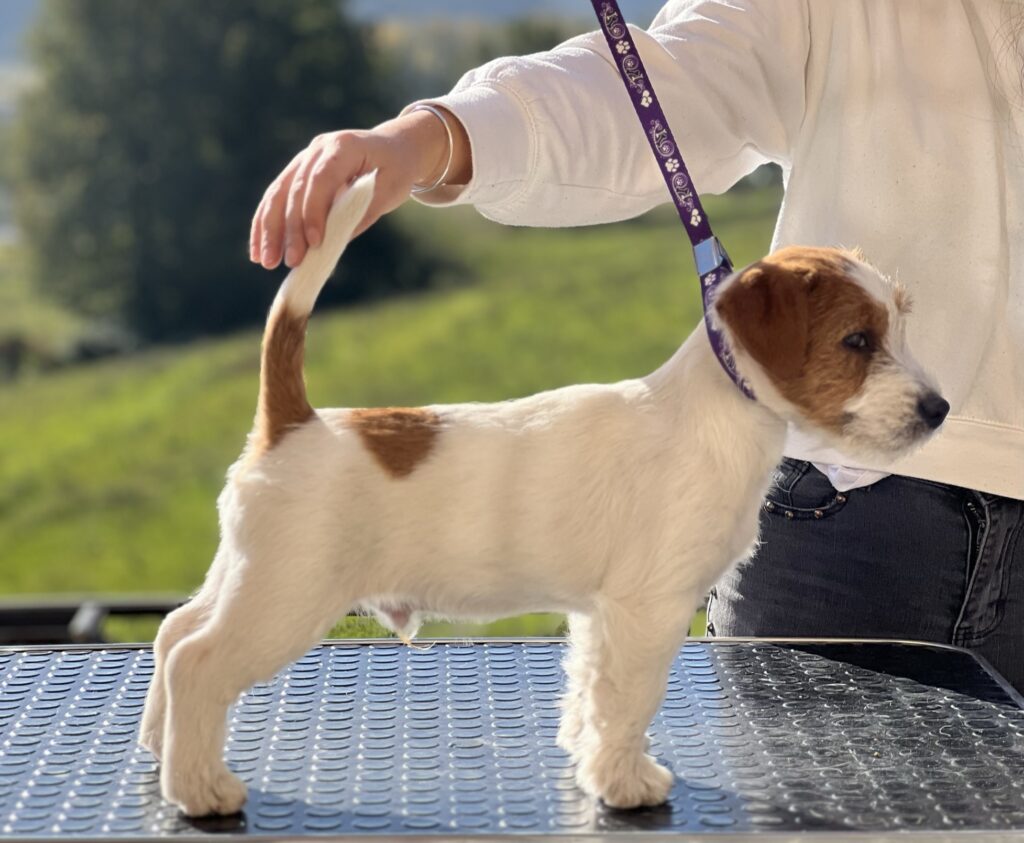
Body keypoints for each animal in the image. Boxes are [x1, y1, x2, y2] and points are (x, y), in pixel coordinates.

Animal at [140, 171, 946, 819]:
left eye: (899, 328)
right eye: (856, 341)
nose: (938, 409)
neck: (712, 414)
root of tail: (291, 419)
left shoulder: (602, 611)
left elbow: (592, 688)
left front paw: (592, 763)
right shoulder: (649, 608)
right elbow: (629, 701)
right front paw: (626, 783)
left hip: (247, 575)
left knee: (174, 631)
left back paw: (158, 743)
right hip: (287, 594)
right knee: (196, 662)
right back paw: (200, 788)